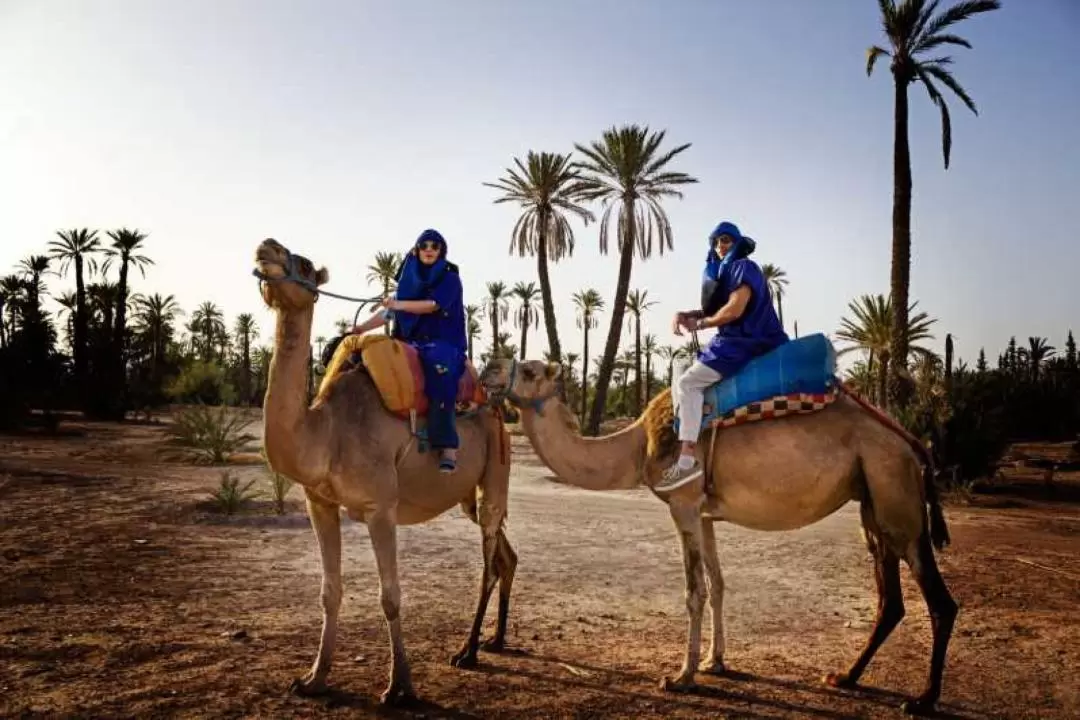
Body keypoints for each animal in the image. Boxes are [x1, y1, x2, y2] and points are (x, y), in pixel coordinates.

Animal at [257, 239, 518, 708]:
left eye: (303, 263)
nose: (266, 246)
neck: (327, 432)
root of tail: (496, 408)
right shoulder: (319, 503)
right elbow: (329, 592)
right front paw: (313, 679)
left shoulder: (381, 506)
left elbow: (391, 597)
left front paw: (400, 687)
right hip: (467, 496)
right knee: (507, 556)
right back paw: (496, 641)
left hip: (496, 470)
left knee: (489, 559)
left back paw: (467, 652)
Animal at [479, 358, 954, 716]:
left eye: (529, 370)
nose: (487, 369)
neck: (636, 446)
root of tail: (913, 444)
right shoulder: (705, 514)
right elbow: (719, 583)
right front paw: (715, 661)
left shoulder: (683, 505)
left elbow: (695, 591)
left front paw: (681, 676)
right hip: (873, 501)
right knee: (890, 600)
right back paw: (845, 678)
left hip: (896, 497)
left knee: (939, 601)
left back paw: (923, 699)